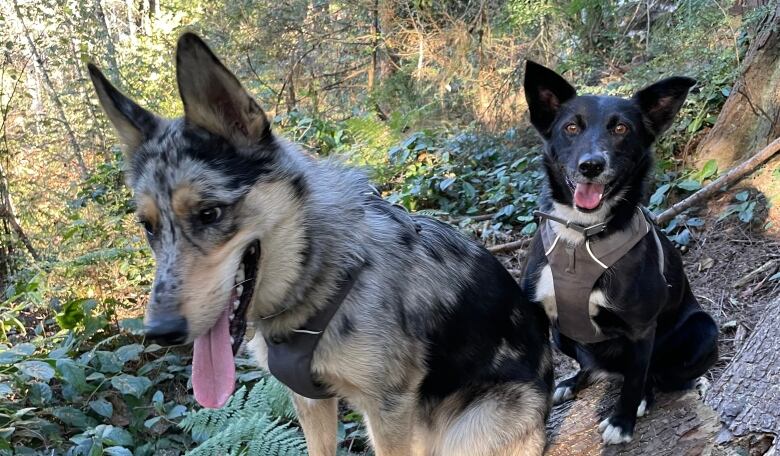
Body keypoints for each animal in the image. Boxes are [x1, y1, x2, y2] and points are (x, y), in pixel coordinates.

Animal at [520, 60, 716, 446]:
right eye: (571, 127)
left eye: (621, 128)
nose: (591, 165)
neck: (581, 236)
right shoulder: (537, 318)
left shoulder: (641, 328)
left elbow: (638, 377)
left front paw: (622, 422)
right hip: (563, 335)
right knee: (589, 364)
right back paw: (574, 381)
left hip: (704, 330)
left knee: (650, 373)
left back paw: (642, 397)